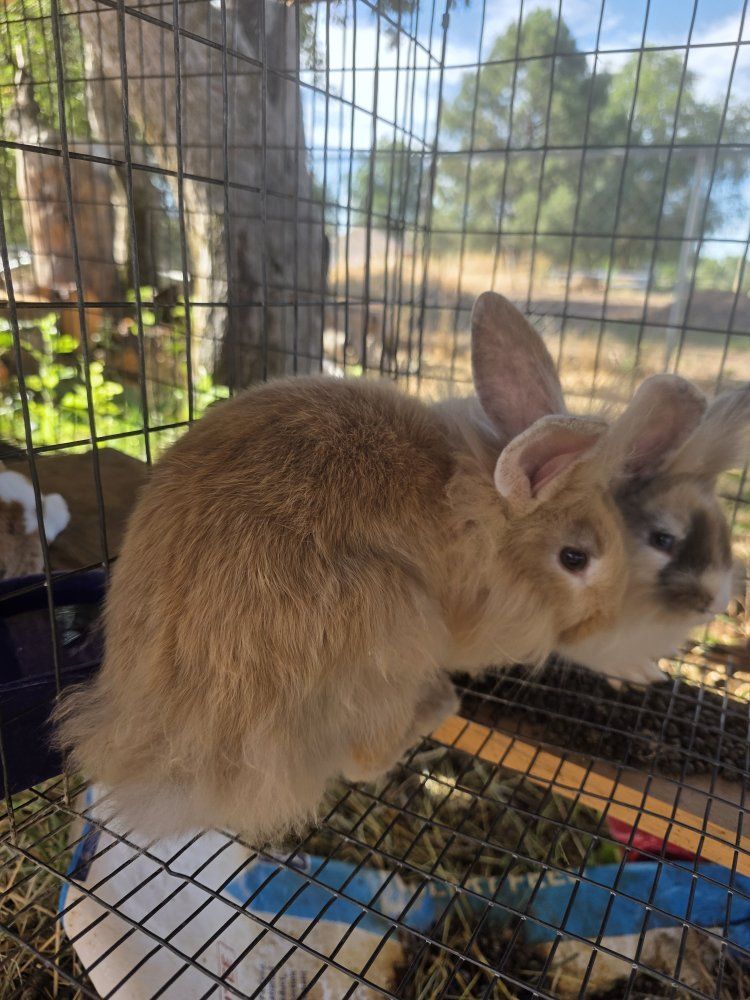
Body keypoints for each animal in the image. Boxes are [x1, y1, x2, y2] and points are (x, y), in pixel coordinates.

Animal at [56, 291, 672, 843]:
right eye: (575, 558)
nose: (603, 618)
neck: (482, 519)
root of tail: (178, 753)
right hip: (395, 630)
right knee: (362, 761)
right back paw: (439, 703)